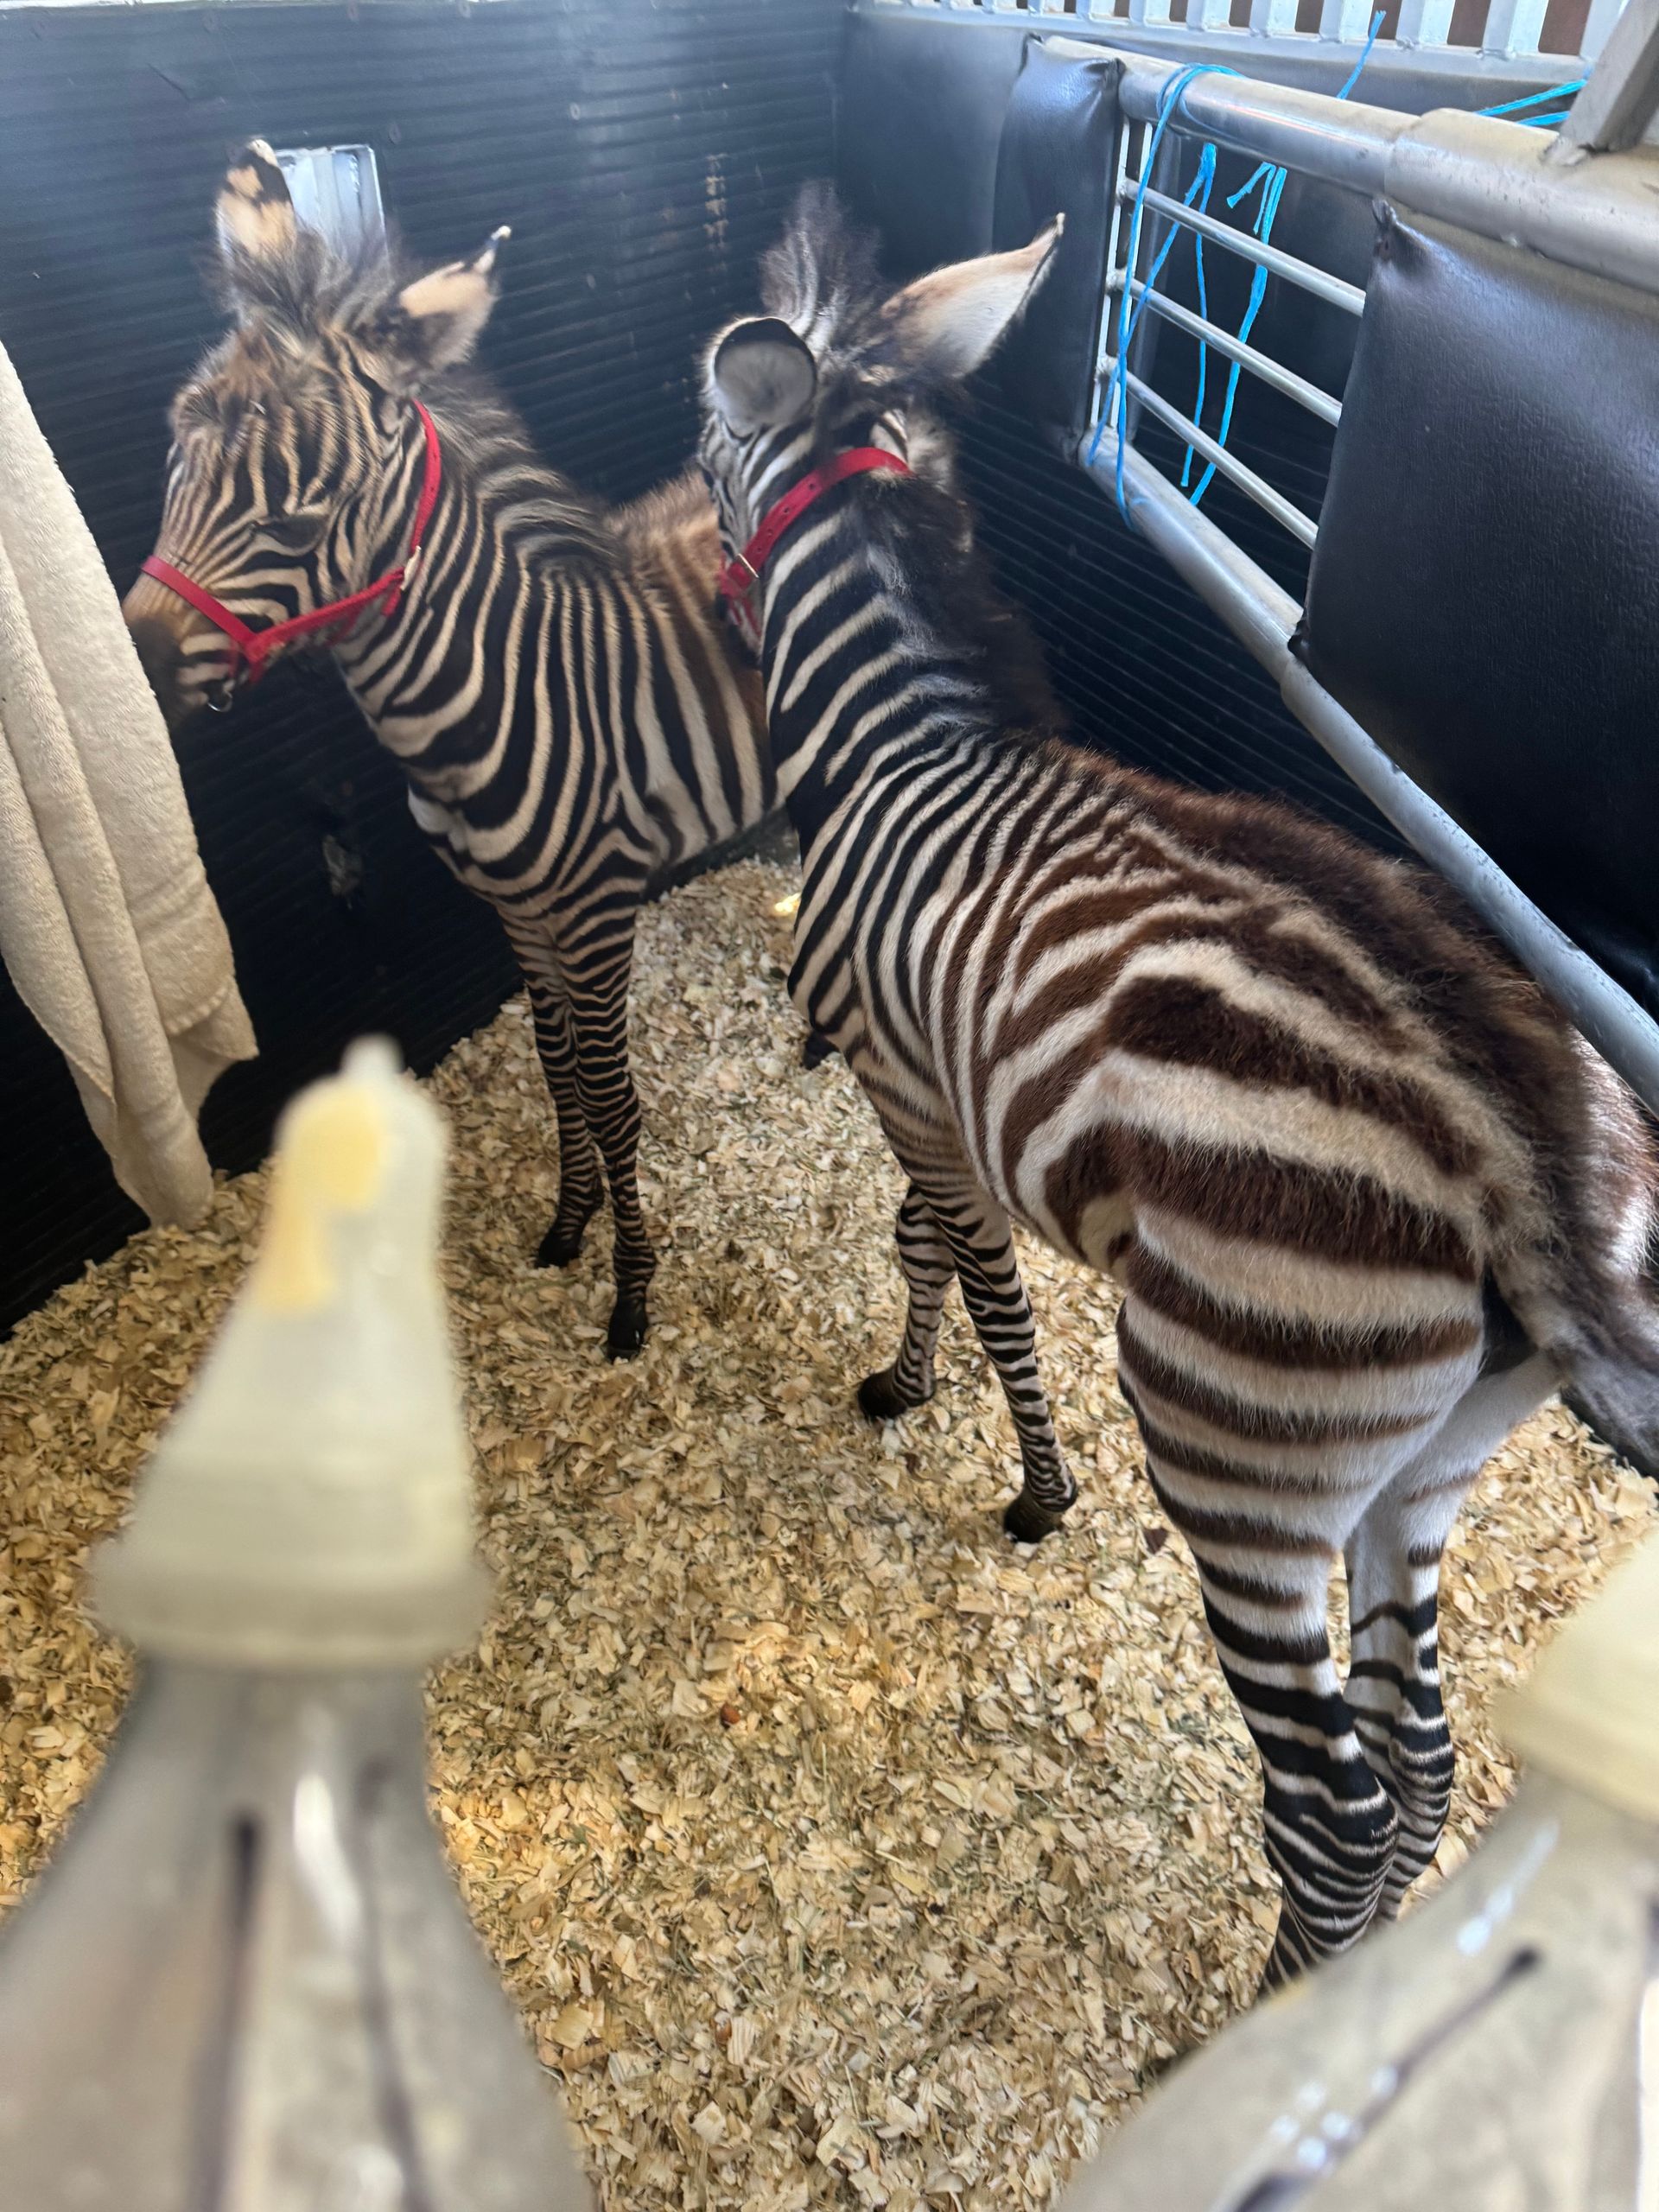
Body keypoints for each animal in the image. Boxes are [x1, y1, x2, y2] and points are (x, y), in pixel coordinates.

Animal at [123, 141, 776, 1357]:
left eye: (299, 521)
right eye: (174, 461)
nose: (138, 672)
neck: (497, 697)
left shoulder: (598, 907)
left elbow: (613, 1094)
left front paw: (631, 1298)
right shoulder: (514, 908)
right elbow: (559, 1070)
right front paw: (566, 1228)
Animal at [696, 187, 1659, 1982]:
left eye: (696, 442)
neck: (900, 736)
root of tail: (1521, 1142)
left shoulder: (912, 1090)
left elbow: (973, 1276)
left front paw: (1010, 1469)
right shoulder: (933, 1095)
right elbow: (930, 1249)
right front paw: (924, 1397)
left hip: (1240, 1438)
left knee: (1334, 1808)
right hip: (1435, 1460)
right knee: (1425, 1758)